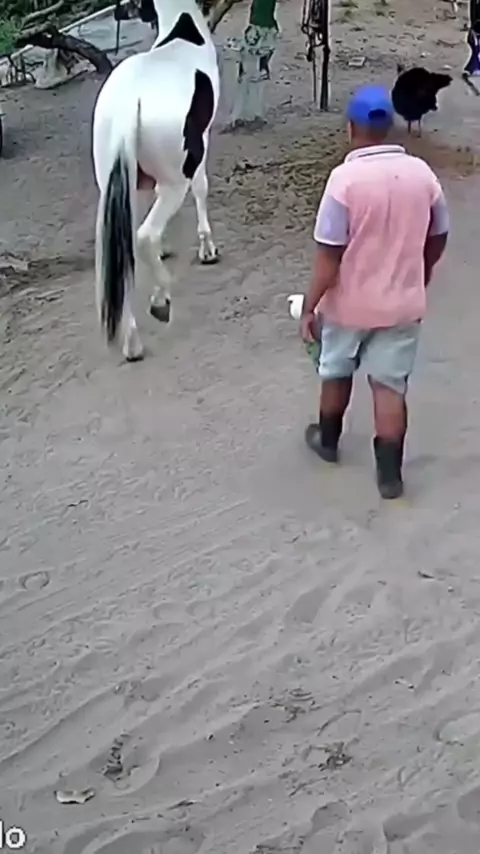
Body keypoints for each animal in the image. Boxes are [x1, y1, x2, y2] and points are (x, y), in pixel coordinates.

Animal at [92, 0, 220, 362]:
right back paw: (161, 301)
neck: (183, 31)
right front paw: (207, 249)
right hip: (176, 181)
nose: (121, 12)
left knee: (122, 250)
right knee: (144, 235)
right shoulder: (201, 145)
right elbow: (202, 189)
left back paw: (132, 342)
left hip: (112, 183)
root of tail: (127, 105)